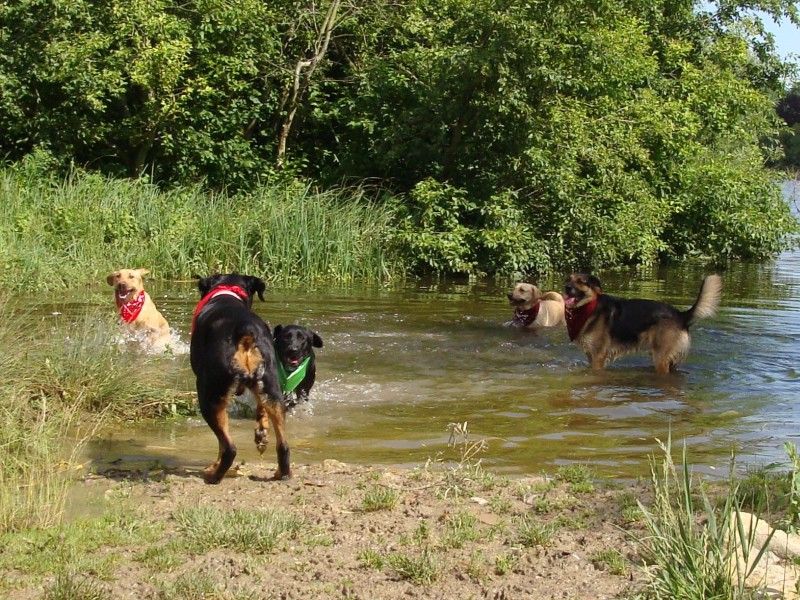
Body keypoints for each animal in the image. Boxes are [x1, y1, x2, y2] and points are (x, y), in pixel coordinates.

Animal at [189, 274, 292, 486]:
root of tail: (245, 330)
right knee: (283, 444)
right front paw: (261, 430)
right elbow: (261, 408)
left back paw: (214, 475)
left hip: (210, 396)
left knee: (228, 447)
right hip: (272, 387)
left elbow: (221, 443)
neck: (227, 292)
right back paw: (282, 473)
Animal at [560, 274, 720, 376]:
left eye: (581, 281)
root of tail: (681, 315)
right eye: (568, 279)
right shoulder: (590, 355)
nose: (566, 287)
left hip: (661, 358)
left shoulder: (598, 356)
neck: (588, 308)